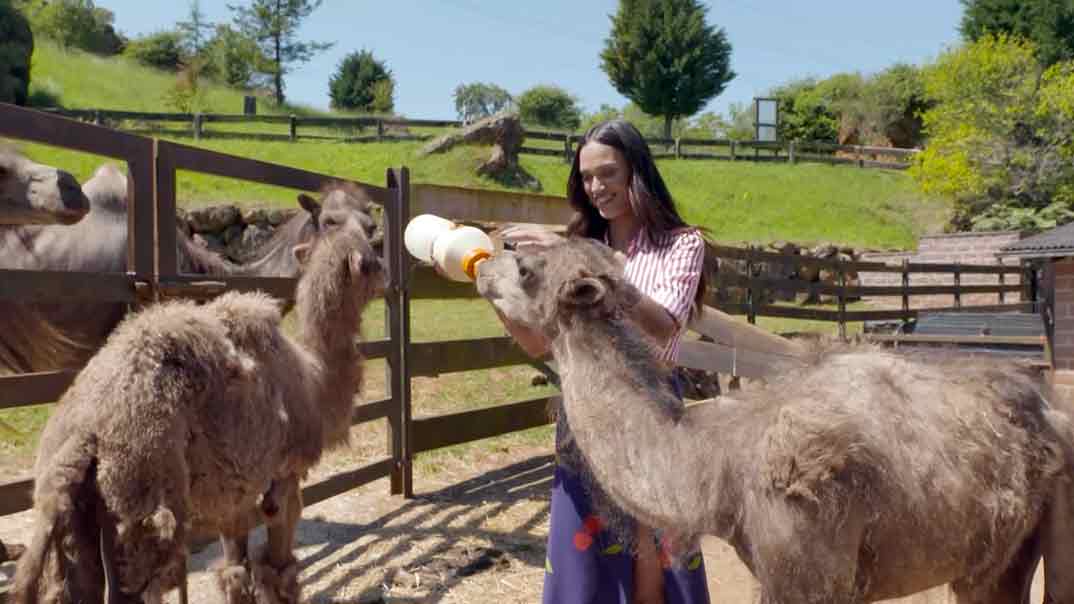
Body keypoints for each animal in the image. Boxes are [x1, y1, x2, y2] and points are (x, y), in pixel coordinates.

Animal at [12, 212, 384, 601]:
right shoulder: (286, 474)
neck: (313, 378)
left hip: (80, 523)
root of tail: (82, 436)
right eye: (372, 260)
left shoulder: (234, 492)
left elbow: (236, 571)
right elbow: (279, 568)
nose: (388, 278)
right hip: (142, 503)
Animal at [474, 237, 1074, 601]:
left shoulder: (806, 567)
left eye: (525, 268)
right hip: (1002, 556)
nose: (483, 261)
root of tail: (1051, 416)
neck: (716, 470)